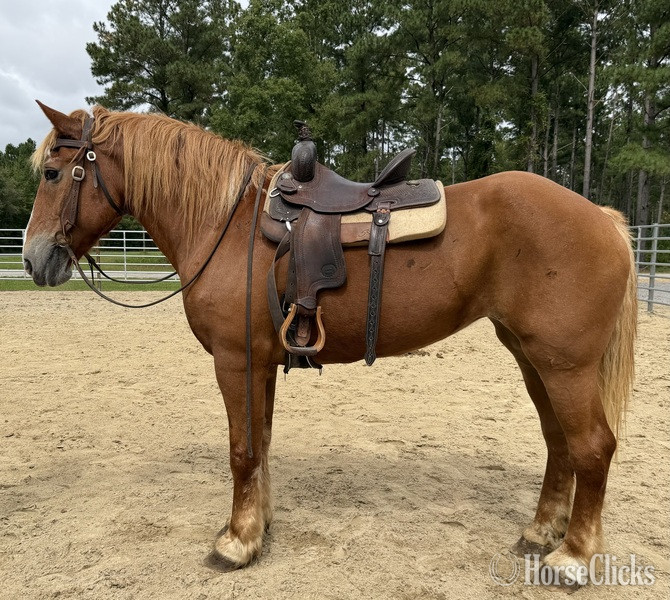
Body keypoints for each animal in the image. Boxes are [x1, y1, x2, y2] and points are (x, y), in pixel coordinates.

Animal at [23, 103, 637, 584]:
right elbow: (261, 444)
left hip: (565, 365)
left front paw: (235, 543)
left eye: (53, 173)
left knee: (592, 447)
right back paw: (540, 532)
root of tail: (602, 218)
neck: (227, 226)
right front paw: (258, 527)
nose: (32, 260)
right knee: (560, 443)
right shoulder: (261, 364)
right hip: (535, 358)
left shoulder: (235, 362)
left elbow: (242, 450)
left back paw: (572, 557)